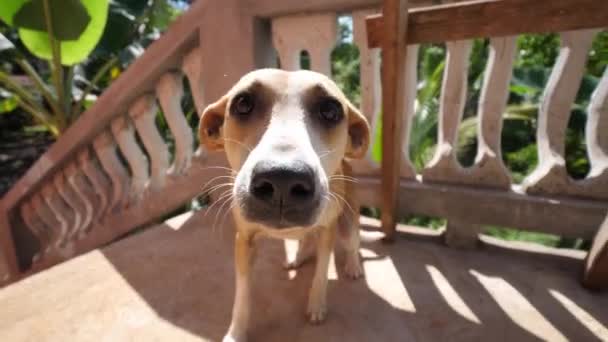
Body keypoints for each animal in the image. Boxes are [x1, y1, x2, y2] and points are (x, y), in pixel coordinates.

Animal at [200, 68, 370, 340]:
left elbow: (321, 274)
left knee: (352, 244)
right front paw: (236, 331)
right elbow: (242, 294)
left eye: (330, 110)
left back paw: (353, 266)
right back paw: (297, 258)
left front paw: (316, 306)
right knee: (306, 239)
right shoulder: (243, 241)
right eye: (243, 103)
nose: (283, 179)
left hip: (348, 224)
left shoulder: (328, 231)